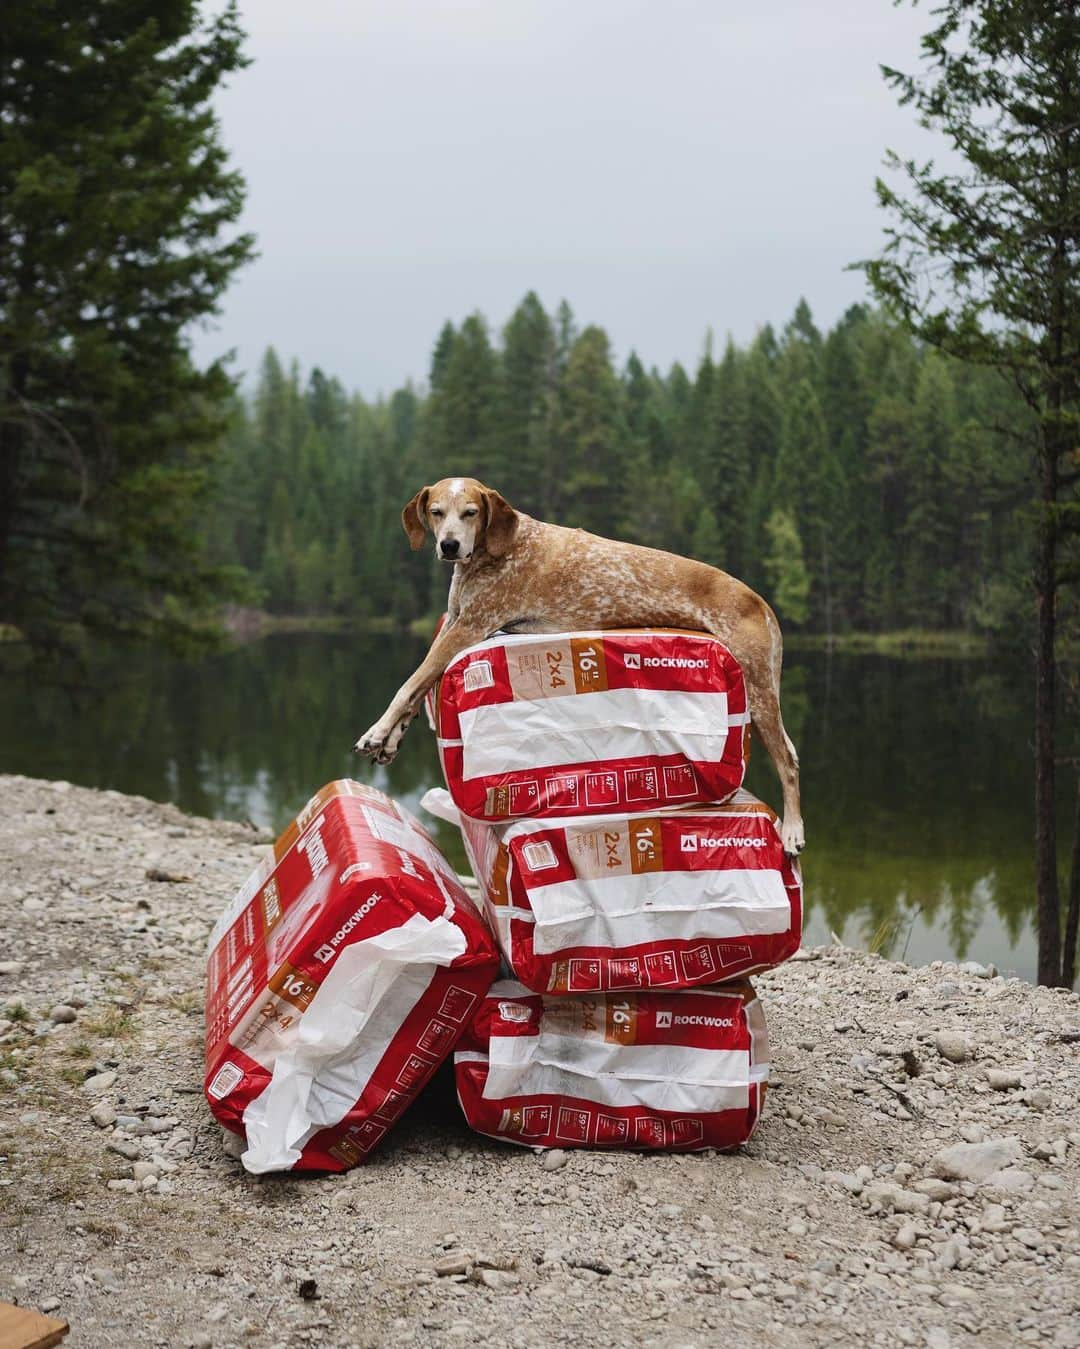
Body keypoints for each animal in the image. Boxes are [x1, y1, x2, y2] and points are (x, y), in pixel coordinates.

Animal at [353, 474, 798, 852]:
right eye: (436, 511)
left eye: (471, 512)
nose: (449, 545)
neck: (497, 550)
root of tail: (760, 602)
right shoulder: (454, 628)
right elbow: (417, 692)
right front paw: (390, 739)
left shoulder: (470, 628)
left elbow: (409, 685)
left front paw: (376, 732)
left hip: (759, 693)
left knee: (789, 763)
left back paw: (793, 830)